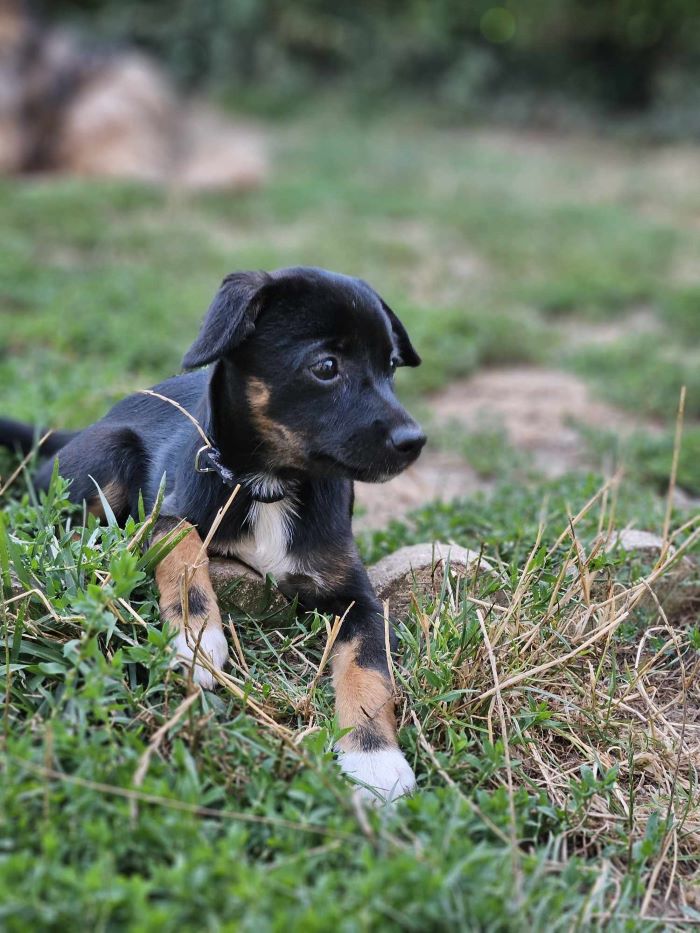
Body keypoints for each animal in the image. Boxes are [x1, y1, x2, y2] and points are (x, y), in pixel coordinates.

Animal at [0, 264, 426, 800]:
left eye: (391, 366)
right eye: (326, 366)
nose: (415, 442)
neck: (270, 486)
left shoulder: (356, 596)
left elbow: (369, 668)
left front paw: (374, 761)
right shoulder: (164, 511)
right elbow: (182, 546)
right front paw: (196, 636)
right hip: (109, 450)